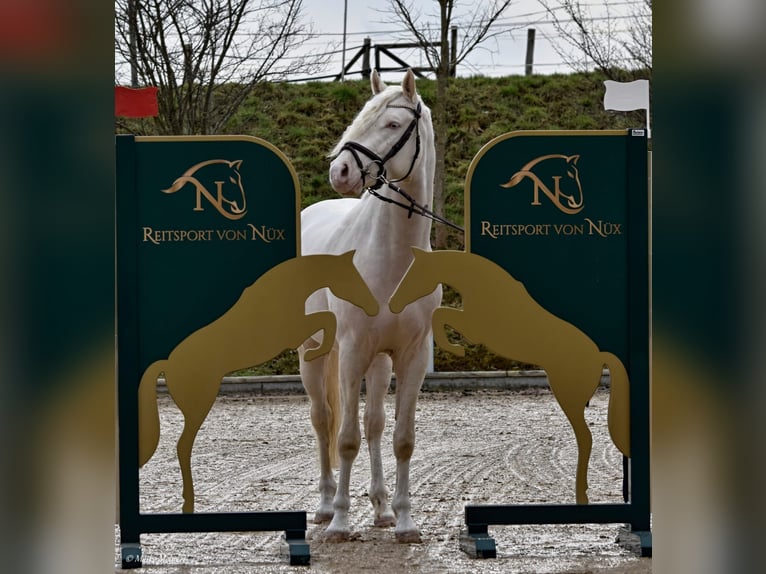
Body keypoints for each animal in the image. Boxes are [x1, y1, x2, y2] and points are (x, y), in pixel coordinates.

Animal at [137, 251, 378, 513]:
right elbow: (329, 318)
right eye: (353, 277)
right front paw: (315, 352)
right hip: (198, 406)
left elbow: (328, 320)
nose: (374, 307)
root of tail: (169, 363)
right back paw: (188, 503)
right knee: (183, 447)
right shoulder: (294, 331)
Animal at [298, 69, 440, 542]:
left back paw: (380, 509)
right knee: (324, 420)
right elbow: (344, 439)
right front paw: (341, 523)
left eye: (393, 124)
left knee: (373, 423)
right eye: (360, 119)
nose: (340, 171)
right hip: (315, 353)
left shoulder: (411, 356)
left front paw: (405, 521)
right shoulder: (352, 350)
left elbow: (401, 438)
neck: (392, 256)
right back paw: (326, 507)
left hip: (378, 362)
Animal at [389, 248, 630, 505]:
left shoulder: (473, 328)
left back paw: (581, 494)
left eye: (413, 273)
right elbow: (439, 314)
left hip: (568, 398)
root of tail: (598, 355)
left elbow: (439, 314)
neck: (485, 286)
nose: (393, 304)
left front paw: (457, 349)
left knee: (585, 438)